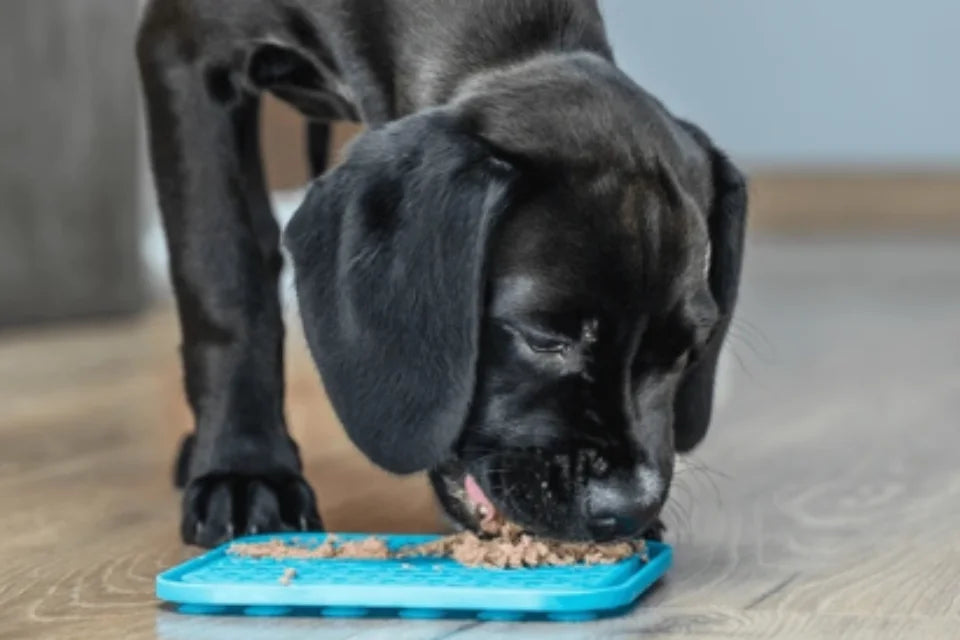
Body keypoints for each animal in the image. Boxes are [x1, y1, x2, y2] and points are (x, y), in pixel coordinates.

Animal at [137, 1, 752, 552]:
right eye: (544, 338)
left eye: (686, 353)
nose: (629, 509)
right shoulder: (187, 55)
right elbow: (226, 276)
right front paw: (245, 468)